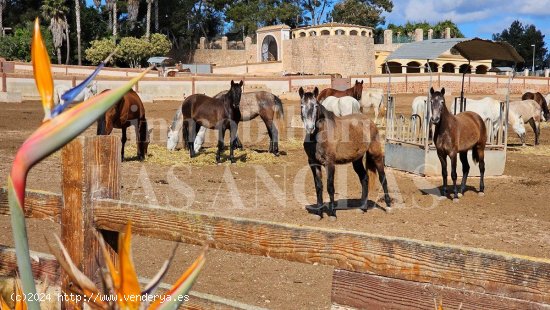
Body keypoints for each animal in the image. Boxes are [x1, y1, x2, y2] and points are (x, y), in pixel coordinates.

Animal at [300, 86, 390, 219]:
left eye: (316, 105)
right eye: (302, 105)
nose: (310, 128)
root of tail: (370, 121)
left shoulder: (330, 163)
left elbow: (330, 187)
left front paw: (332, 214)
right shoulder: (313, 163)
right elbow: (318, 187)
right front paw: (319, 214)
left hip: (375, 154)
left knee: (382, 176)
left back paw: (388, 206)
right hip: (357, 160)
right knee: (364, 178)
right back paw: (362, 208)